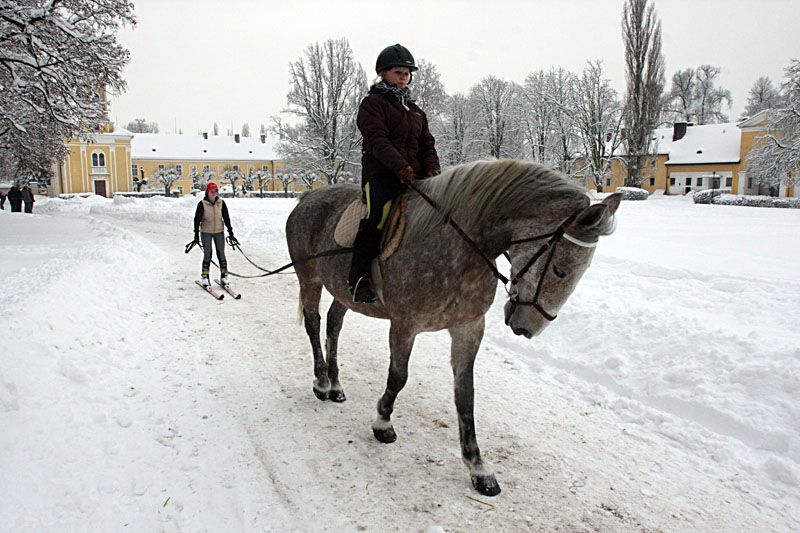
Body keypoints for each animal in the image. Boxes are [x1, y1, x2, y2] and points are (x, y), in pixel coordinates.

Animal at [284, 159, 620, 494]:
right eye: (560, 270)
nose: (528, 327)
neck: (457, 248)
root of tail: (307, 198)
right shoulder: (404, 325)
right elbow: (398, 377)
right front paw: (382, 423)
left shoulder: (468, 328)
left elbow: (465, 394)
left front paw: (477, 466)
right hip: (309, 278)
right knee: (314, 324)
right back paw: (322, 382)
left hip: (343, 292)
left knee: (333, 325)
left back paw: (336, 385)